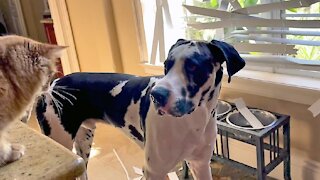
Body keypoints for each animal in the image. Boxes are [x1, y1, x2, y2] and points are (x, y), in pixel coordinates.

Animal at [35, 38, 245, 179]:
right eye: (166, 65)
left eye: (193, 66)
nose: (156, 95)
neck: (192, 122)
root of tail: (53, 84)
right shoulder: (154, 171)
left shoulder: (200, 165)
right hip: (61, 142)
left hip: (83, 144)